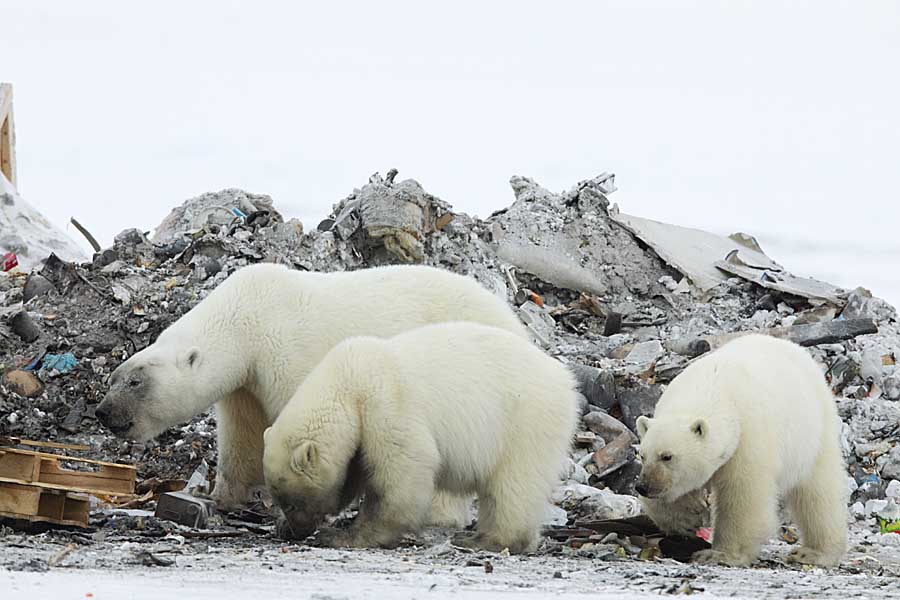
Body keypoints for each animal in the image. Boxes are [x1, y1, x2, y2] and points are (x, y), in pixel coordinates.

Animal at [96, 264, 528, 524]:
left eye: (135, 382)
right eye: (114, 377)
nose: (103, 413)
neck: (246, 316)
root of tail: (515, 322)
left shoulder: (285, 351)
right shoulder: (245, 383)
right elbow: (241, 434)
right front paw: (221, 495)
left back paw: (440, 512)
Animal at [264, 324, 580, 552]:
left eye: (292, 502)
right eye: (281, 501)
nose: (298, 530)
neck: (348, 383)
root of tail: (566, 381)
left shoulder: (386, 404)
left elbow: (404, 469)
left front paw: (344, 536)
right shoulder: (361, 432)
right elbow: (352, 474)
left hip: (525, 422)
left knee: (513, 485)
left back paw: (484, 540)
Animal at [632, 338, 844, 568]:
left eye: (667, 456)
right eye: (643, 455)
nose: (643, 487)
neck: (712, 389)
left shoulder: (748, 437)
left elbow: (743, 495)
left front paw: (719, 554)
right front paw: (686, 520)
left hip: (813, 433)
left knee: (817, 492)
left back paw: (813, 552)